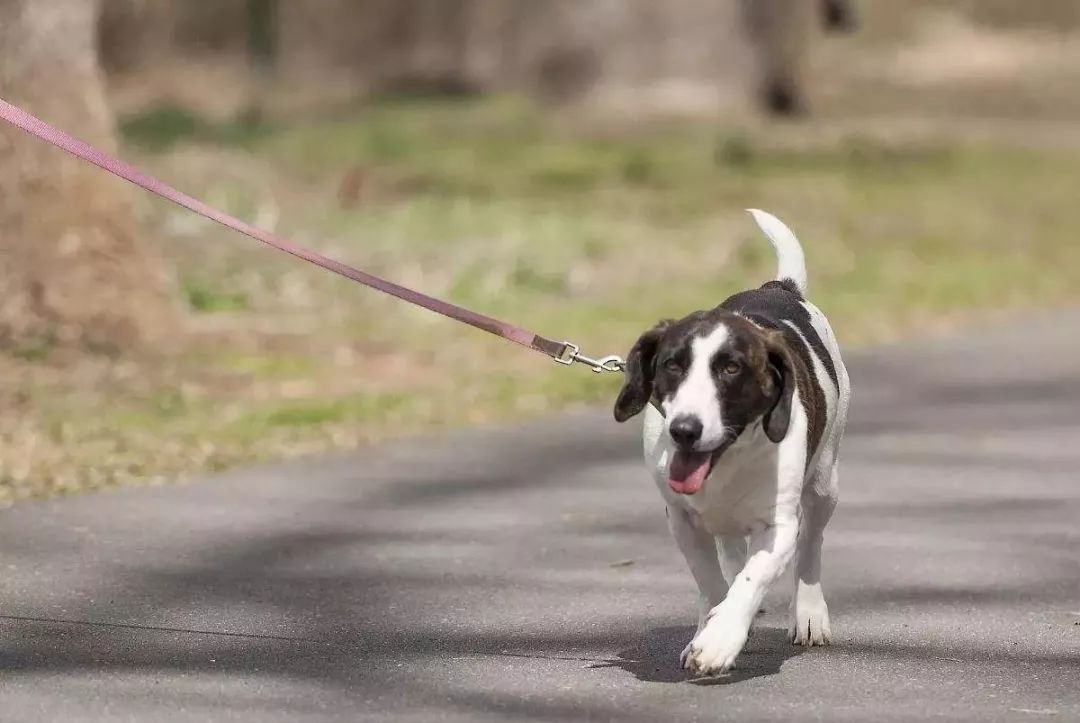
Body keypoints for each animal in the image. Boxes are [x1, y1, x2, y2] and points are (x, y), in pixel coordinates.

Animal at [613, 209, 846, 678]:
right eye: (672, 366)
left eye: (731, 369)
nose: (684, 429)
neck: (728, 462)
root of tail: (778, 287)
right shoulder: (682, 521)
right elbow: (712, 579)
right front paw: (712, 624)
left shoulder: (778, 527)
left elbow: (753, 580)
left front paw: (720, 640)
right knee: (732, 553)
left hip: (824, 484)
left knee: (811, 547)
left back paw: (810, 613)